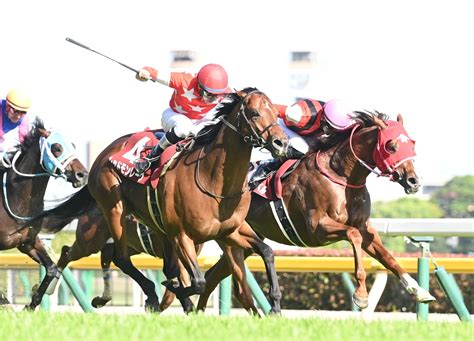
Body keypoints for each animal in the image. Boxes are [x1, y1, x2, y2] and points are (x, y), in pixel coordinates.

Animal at [0, 118, 88, 310]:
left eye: (72, 145)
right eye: (57, 147)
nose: (82, 175)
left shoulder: (28, 242)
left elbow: (52, 268)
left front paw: (30, 305)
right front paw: (5, 302)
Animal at [35, 88, 286, 314]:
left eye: (275, 112)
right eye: (254, 113)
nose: (280, 143)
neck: (213, 180)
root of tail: (105, 152)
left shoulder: (229, 231)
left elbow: (266, 251)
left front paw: (275, 304)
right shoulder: (181, 235)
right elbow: (197, 281)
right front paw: (176, 295)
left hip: (153, 227)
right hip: (110, 212)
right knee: (113, 257)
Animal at [197, 111, 436, 310]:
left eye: (412, 143)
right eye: (391, 145)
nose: (414, 181)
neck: (341, 175)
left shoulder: (364, 227)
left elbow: (388, 257)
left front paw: (418, 290)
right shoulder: (317, 229)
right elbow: (353, 235)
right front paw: (360, 295)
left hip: (244, 242)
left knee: (211, 278)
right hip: (230, 238)